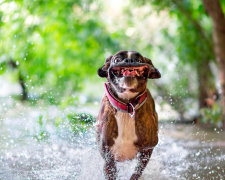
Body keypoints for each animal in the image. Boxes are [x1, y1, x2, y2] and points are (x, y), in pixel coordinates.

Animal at [96, 50, 161, 179]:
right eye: (117, 59)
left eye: (139, 60)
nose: (129, 61)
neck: (127, 105)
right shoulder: (108, 159)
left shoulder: (146, 151)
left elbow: (136, 173)